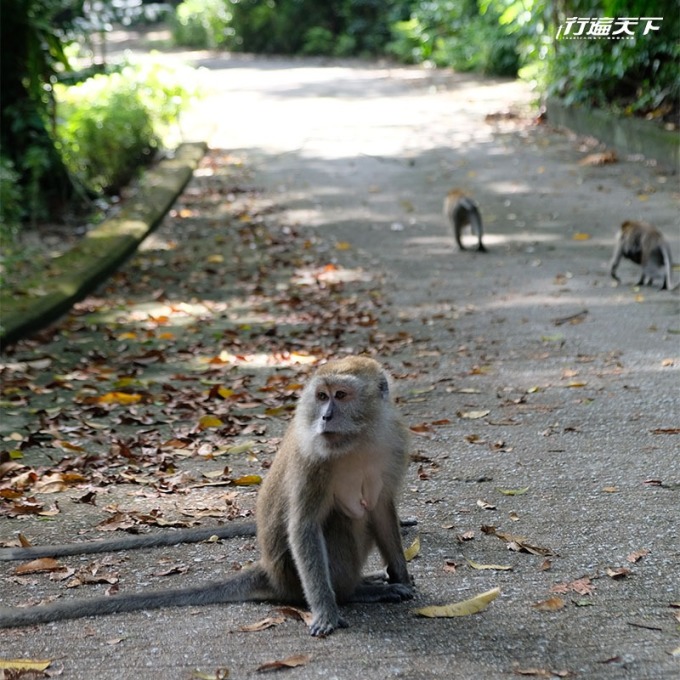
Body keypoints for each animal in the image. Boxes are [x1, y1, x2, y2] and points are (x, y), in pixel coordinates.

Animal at [0, 356, 414, 636]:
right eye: (323, 396)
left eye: (341, 396)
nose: (325, 417)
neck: (357, 439)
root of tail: (270, 573)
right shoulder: (315, 459)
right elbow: (305, 527)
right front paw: (326, 611)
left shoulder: (394, 441)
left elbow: (380, 509)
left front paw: (403, 575)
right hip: (291, 576)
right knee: (341, 519)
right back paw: (352, 594)